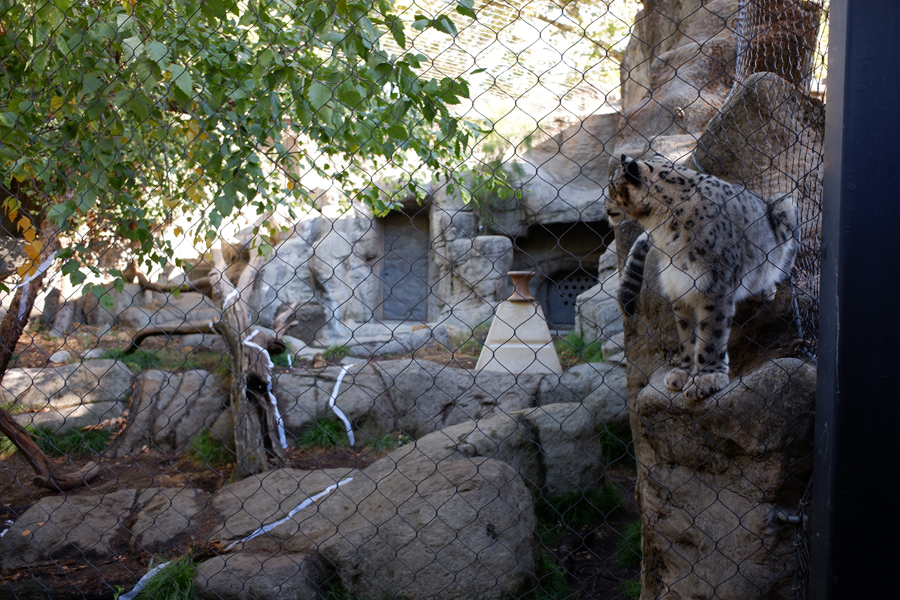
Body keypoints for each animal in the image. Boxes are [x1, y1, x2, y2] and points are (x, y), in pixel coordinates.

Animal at [606, 154, 798, 400]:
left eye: (611, 185)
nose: (605, 207)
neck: (663, 231)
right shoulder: (680, 287)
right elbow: (687, 333)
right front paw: (684, 372)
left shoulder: (714, 285)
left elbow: (711, 334)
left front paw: (707, 379)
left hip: (783, 203)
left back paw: (766, 287)